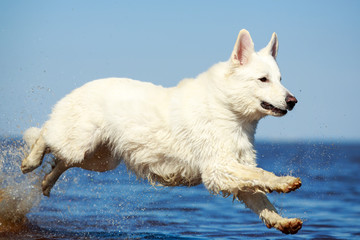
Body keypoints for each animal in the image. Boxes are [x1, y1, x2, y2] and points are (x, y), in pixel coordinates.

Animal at [21, 30, 302, 234]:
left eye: (280, 79)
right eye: (263, 79)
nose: (292, 101)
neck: (228, 109)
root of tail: (79, 88)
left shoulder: (232, 169)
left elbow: (260, 196)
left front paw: (282, 221)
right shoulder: (217, 168)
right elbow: (261, 175)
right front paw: (285, 182)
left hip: (99, 159)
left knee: (61, 161)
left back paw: (46, 182)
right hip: (79, 142)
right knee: (45, 134)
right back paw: (30, 161)